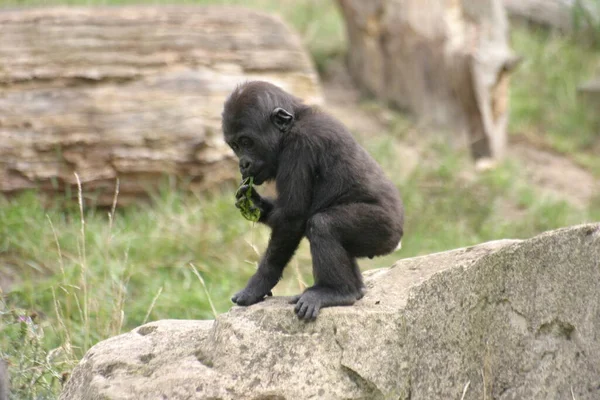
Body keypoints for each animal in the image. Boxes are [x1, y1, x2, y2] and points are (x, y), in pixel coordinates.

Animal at [223, 79, 406, 320]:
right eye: (235, 146)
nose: (242, 164)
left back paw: (336, 292)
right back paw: (354, 290)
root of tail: (398, 238)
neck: (295, 121)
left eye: (247, 142)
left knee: (323, 225)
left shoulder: (299, 147)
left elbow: (292, 217)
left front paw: (259, 284)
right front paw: (256, 205)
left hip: (384, 231)